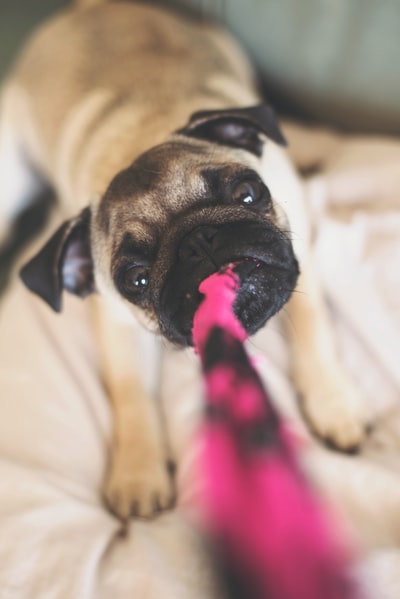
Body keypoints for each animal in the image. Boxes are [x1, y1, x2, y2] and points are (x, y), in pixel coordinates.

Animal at [0, 0, 368, 520]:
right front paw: (138, 471)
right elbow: (131, 393)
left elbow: (314, 325)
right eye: (135, 279)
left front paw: (333, 401)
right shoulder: (116, 324)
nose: (199, 242)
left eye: (249, 193)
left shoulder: (300, 256)